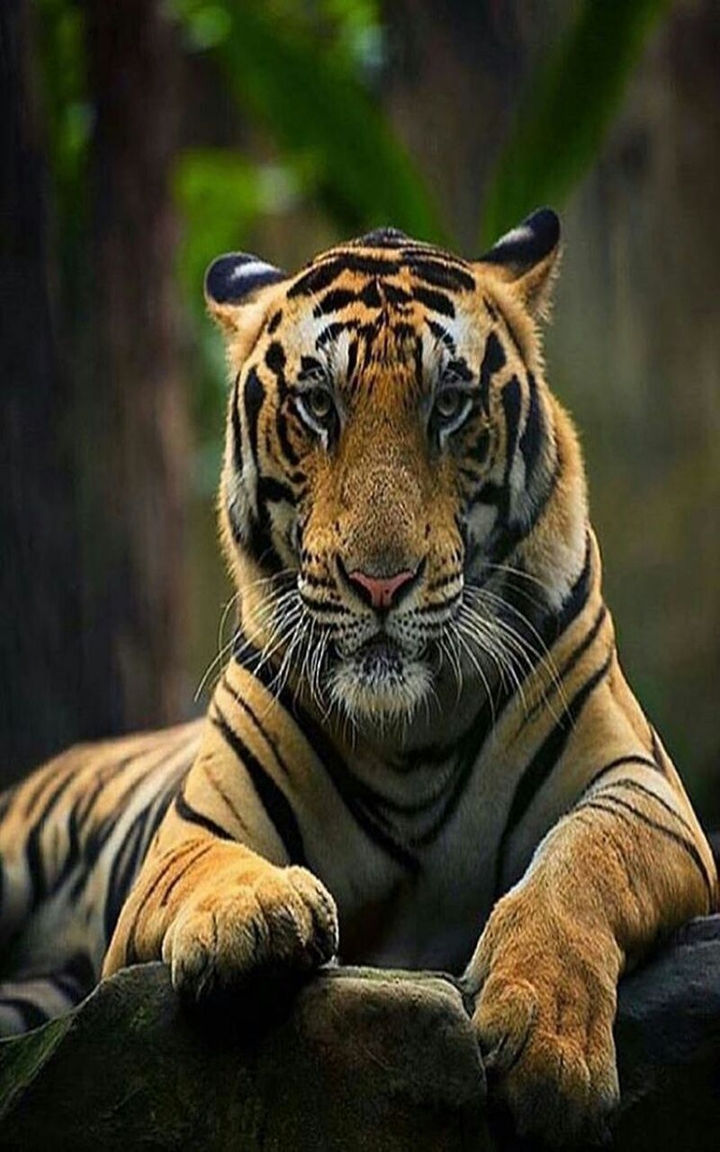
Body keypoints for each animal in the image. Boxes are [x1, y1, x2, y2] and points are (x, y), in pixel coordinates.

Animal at [0, 209, 715, 1144]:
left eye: (448, 406)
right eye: (318, 407)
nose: (381, 582)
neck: (408, 727)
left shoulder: (642, 786)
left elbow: (582, 862)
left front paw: (550, 1039)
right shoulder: (187, 831)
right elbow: (212, 866)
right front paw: (258, 917)